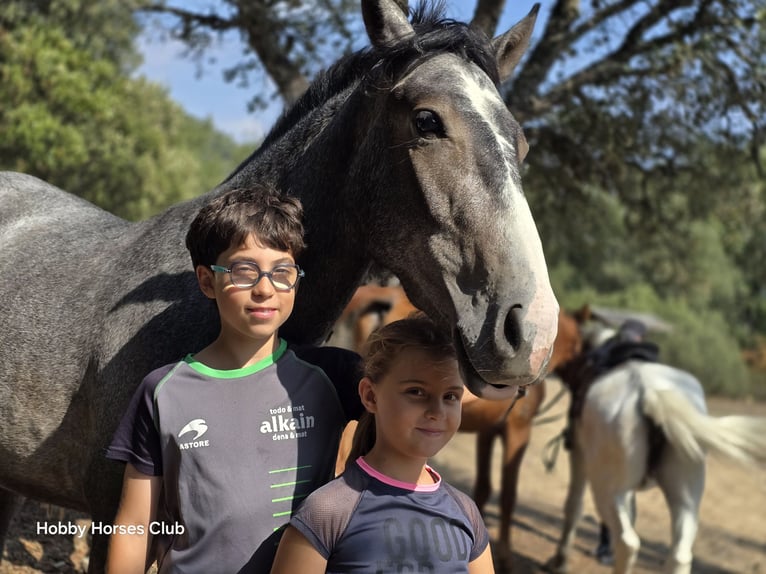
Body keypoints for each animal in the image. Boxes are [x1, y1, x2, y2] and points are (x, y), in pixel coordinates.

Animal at [544, 324, 766, 574]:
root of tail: (649, 393)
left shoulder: (579, 456)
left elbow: (574, 506)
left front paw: (560, 561)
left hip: (608, 490)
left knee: (627, 542)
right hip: (685, 497)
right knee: (680, 553)